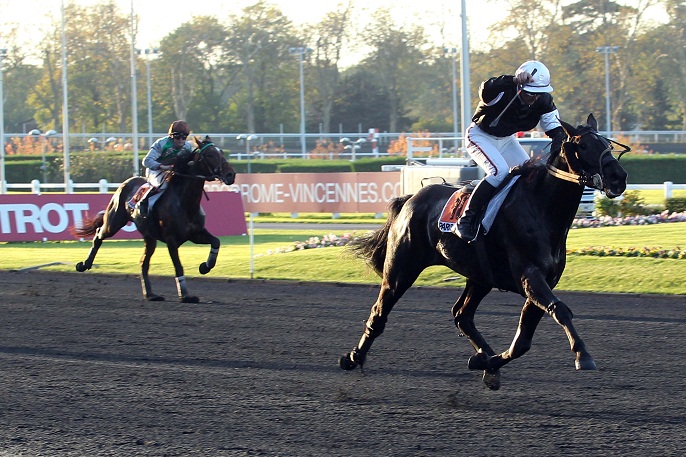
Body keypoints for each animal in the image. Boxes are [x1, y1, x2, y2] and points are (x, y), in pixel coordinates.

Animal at [74, 134, 238, 302]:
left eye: (221, 152)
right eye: (209, 154)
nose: (230, 174)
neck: (185, 202)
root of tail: (127, 182)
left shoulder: (195, 233)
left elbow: (216, 242)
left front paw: (205, 266)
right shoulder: (171, 239)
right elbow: (178, 266)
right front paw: (185, 295)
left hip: (149, 237)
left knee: (143, 263)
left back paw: (150, 294)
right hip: (113, 222)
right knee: (99, 234)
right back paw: (84, 264)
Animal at [342, 114, 632, 388]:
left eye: (607, 145)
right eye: (583, 145)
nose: (618, 177)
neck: (541, 210)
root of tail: (410, 199)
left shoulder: (542, 282)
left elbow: (522, 341)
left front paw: (489, 364)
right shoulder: (530, 278)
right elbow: (560, 310)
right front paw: (583, 355)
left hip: (479, 277)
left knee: (462, 315)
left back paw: (484, 356)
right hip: (401, 269)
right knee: (380, 311)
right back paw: (354, 357)